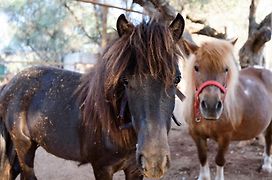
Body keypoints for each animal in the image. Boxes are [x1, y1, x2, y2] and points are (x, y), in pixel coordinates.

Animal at [0, 13, 185, 179]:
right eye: (125, 80)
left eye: (177, 79)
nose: (154, 162)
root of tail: (9, 85)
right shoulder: (103, 168)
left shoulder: (134, 170)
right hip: (24, 147)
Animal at [182, 38, 272, 179]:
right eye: (196, 68)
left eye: (226, 69)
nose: (211, 107)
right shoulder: (196, 135)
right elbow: (202, 157)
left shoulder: (225, 137)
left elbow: (219, 160)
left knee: (268, 139)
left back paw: (267, 166)